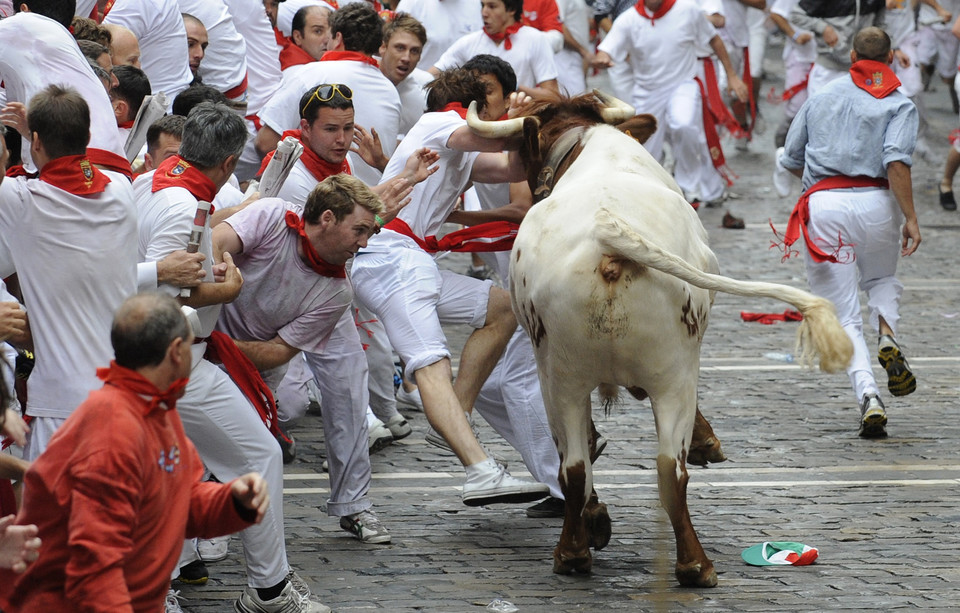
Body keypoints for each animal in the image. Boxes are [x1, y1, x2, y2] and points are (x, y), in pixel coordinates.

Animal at [468, 92, 852, 588]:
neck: (587, 144)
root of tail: (607, 238)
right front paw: (707, 443)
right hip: (670, 373)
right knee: (668, 469)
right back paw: (694, 564)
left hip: (560, 376)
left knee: (577, 466)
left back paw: (574, 552)